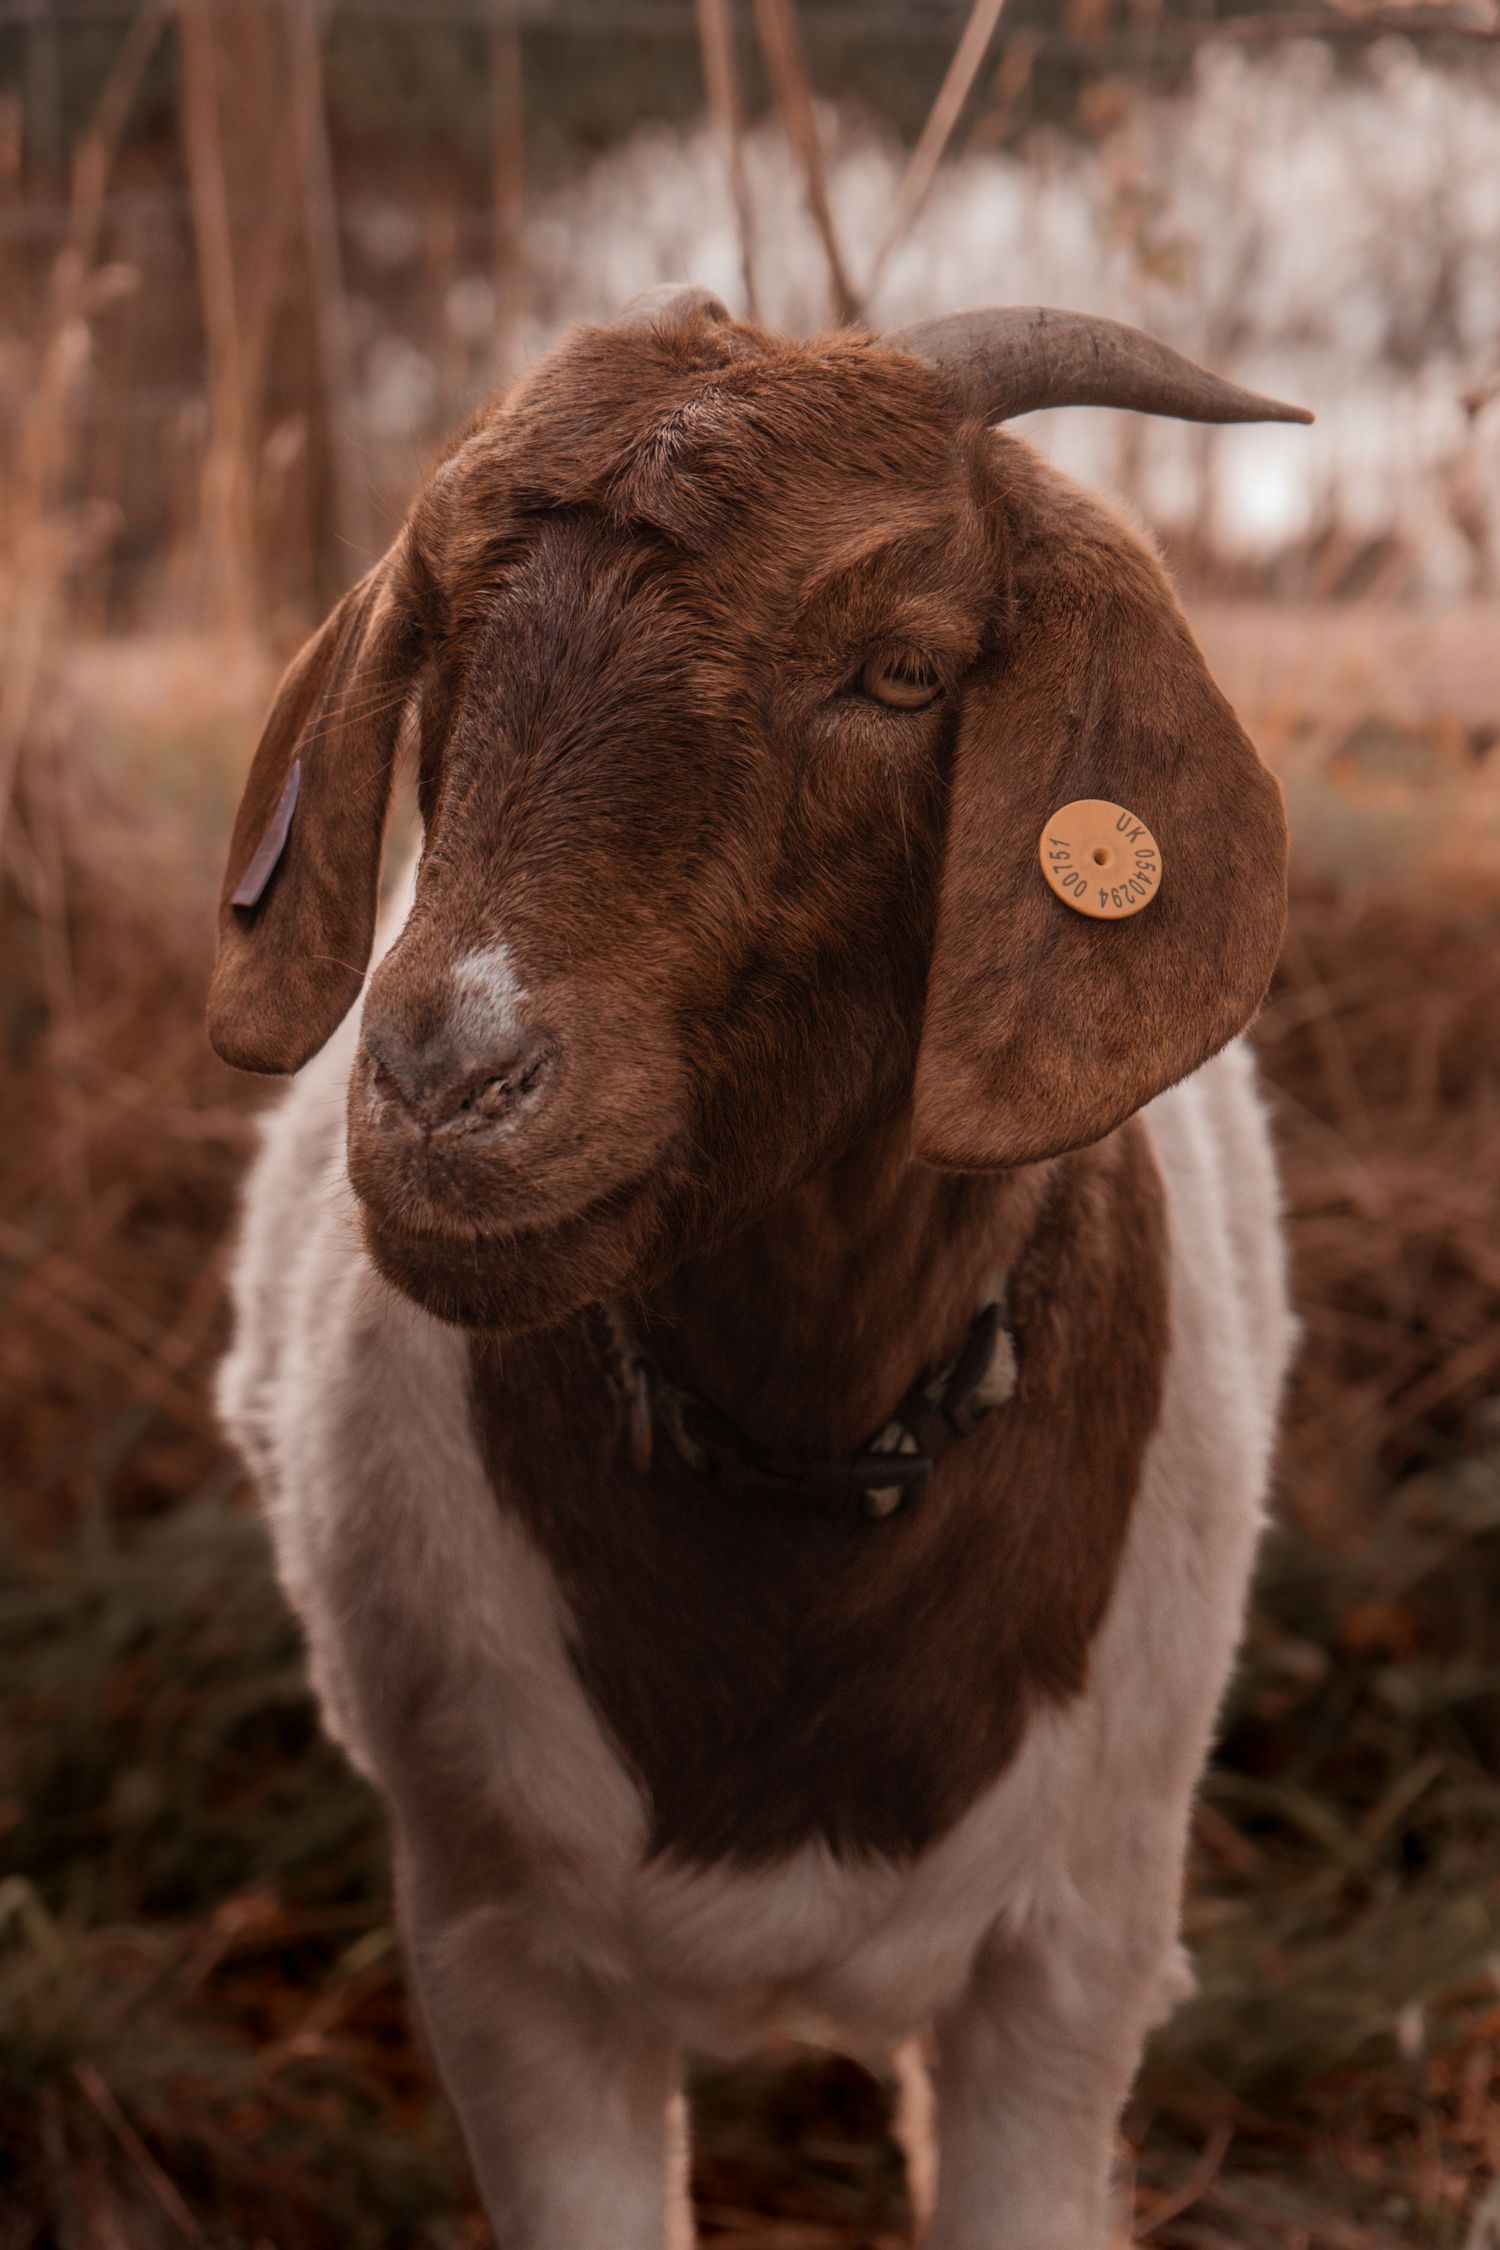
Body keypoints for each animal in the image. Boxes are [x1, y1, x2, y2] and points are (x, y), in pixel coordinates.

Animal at [212, 291, 1305, 2250]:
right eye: (446, 634)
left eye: (903, 670)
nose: (446, 1088)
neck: (804, 1462)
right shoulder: (505, 1959)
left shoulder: (1075, 1963)